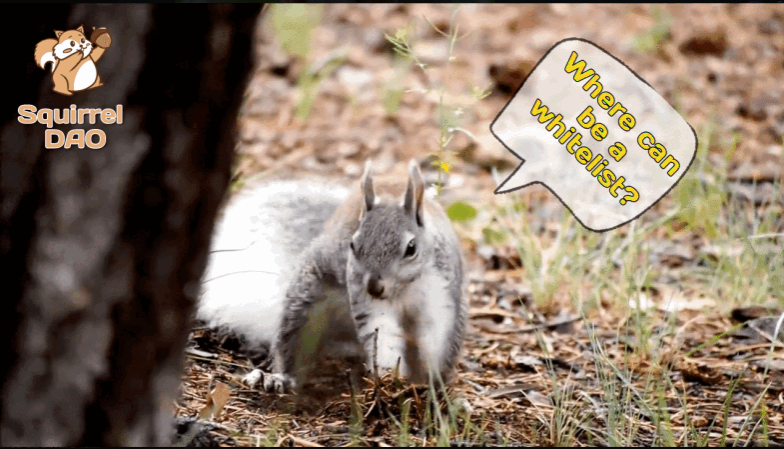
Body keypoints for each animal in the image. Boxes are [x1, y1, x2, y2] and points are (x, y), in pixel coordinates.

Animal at [197, 160, 466, 393]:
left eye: (411, 248)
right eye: (352, 245)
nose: (374, 287)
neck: (403, 289)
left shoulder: (439, 291)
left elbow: (434, 334)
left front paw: (427, 383)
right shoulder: (362, 294)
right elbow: (382, 334)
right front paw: (389, 380)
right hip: (305, 303)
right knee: (291, 343)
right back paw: (279, 378)